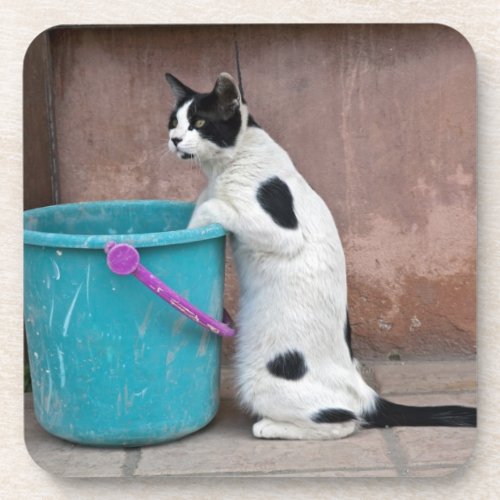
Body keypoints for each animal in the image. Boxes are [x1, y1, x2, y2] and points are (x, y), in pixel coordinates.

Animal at [165, 71, 476, 442]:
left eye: (199, 122)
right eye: (173, 122)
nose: (174, 139)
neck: (227, 166)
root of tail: (366, 393)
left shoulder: (282, 231)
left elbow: (213, 206)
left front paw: (193, 226)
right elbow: (204, 201)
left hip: (264, 380)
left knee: (343, 422)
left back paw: (269, 426)